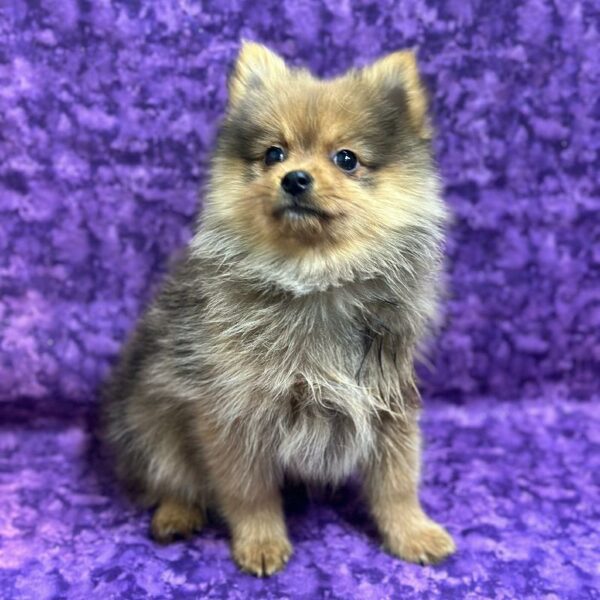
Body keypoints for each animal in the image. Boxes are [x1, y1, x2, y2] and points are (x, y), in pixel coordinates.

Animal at [104, 42, 454, 576]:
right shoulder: (233, 410)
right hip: (147, 417)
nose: (294, 178)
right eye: (274, 153)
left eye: (346, 159)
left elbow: (397, 479)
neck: (314, 281)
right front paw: (261, 543)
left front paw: (413, 533)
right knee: (169, 474)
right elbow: (247, 492)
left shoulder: (386, 396)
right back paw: (176, 513)